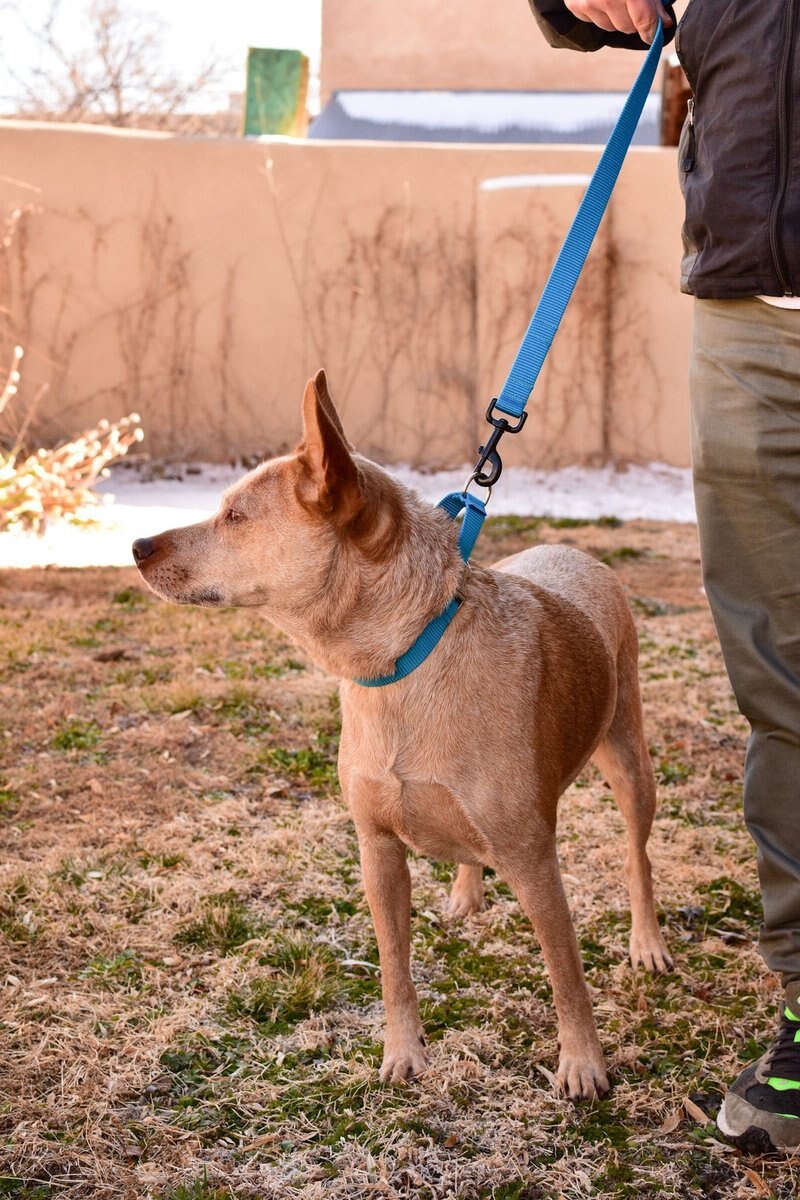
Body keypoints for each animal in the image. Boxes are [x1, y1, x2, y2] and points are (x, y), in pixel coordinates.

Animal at [134, 369, 671, 1099]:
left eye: (237, 517)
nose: (136, 547)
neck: (405, 659)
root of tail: (572, 550)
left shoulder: (535, 860)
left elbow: (566, 973)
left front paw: (582, 1063)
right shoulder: (377, 848)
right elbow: (394, 967)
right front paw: (403, 1053)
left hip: (627, 757)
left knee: (637, 856)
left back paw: (648, 941)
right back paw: (467, 893)